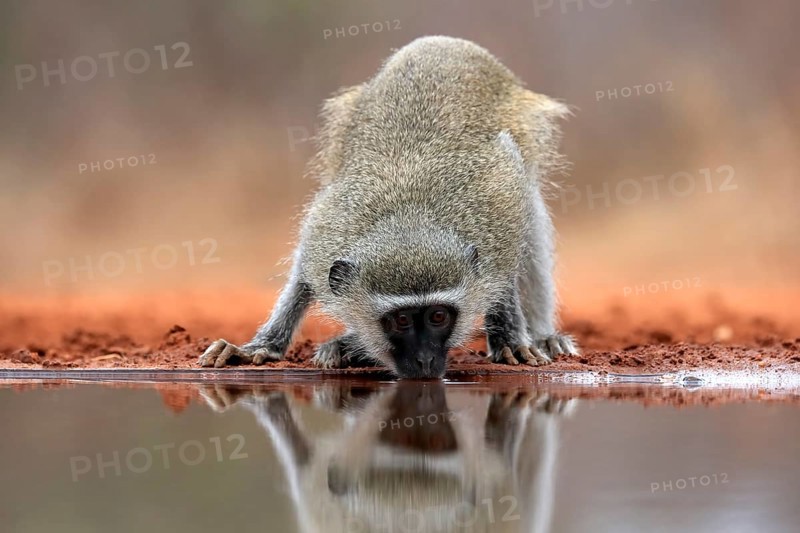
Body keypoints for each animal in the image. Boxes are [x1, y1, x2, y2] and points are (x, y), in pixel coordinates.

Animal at [199, 36, 579, 378]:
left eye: (438, 317)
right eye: (401, 320)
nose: (425, 362)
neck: (408, 219)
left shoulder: (501, 209)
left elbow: (508, 268)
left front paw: (510, 338)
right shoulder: (326, 230)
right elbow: (302, 276)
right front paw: (263, 346)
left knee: (532, 208)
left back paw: (543, 336)